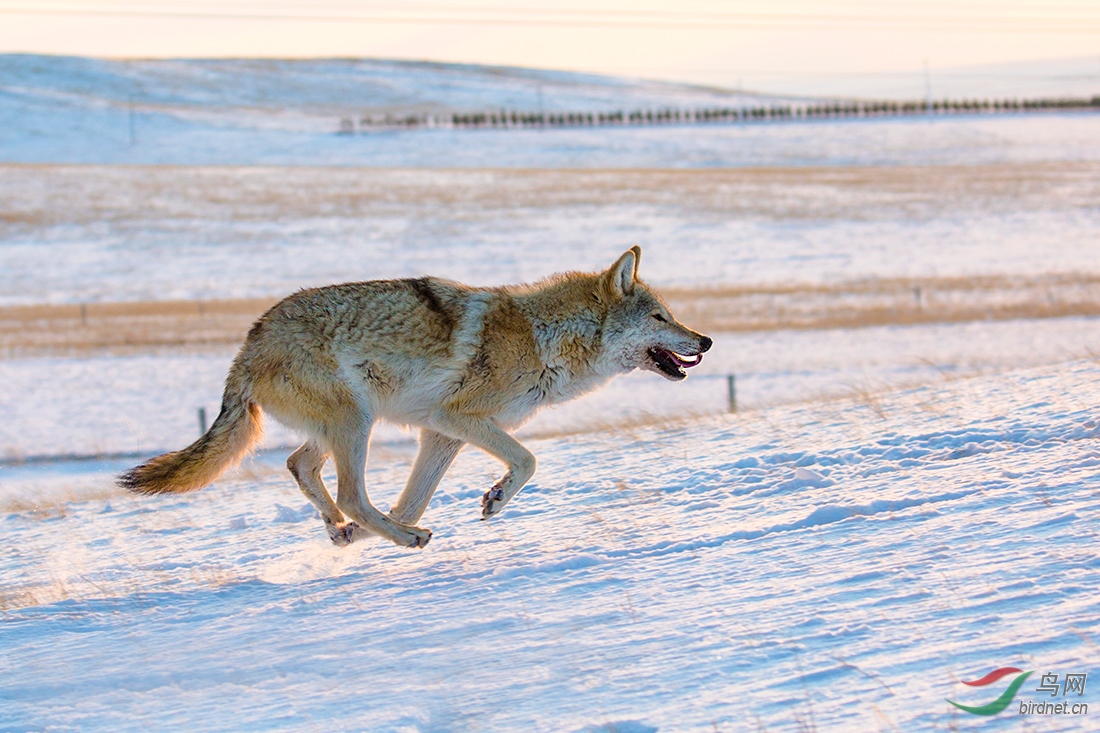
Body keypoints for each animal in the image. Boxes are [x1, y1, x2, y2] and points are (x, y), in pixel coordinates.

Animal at [116, 248, 708, 545]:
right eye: (661, 317)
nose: (704, 341)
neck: (547, 338)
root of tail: (249, 342)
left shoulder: (441, 435)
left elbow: (412, 499)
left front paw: (371, 535)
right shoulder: (458, 418)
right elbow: (528, 461)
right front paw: (495, 498)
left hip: (343, 428)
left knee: (301, 467)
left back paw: (346, 532)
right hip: (356, 423)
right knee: (349, 491)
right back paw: (397, 537)